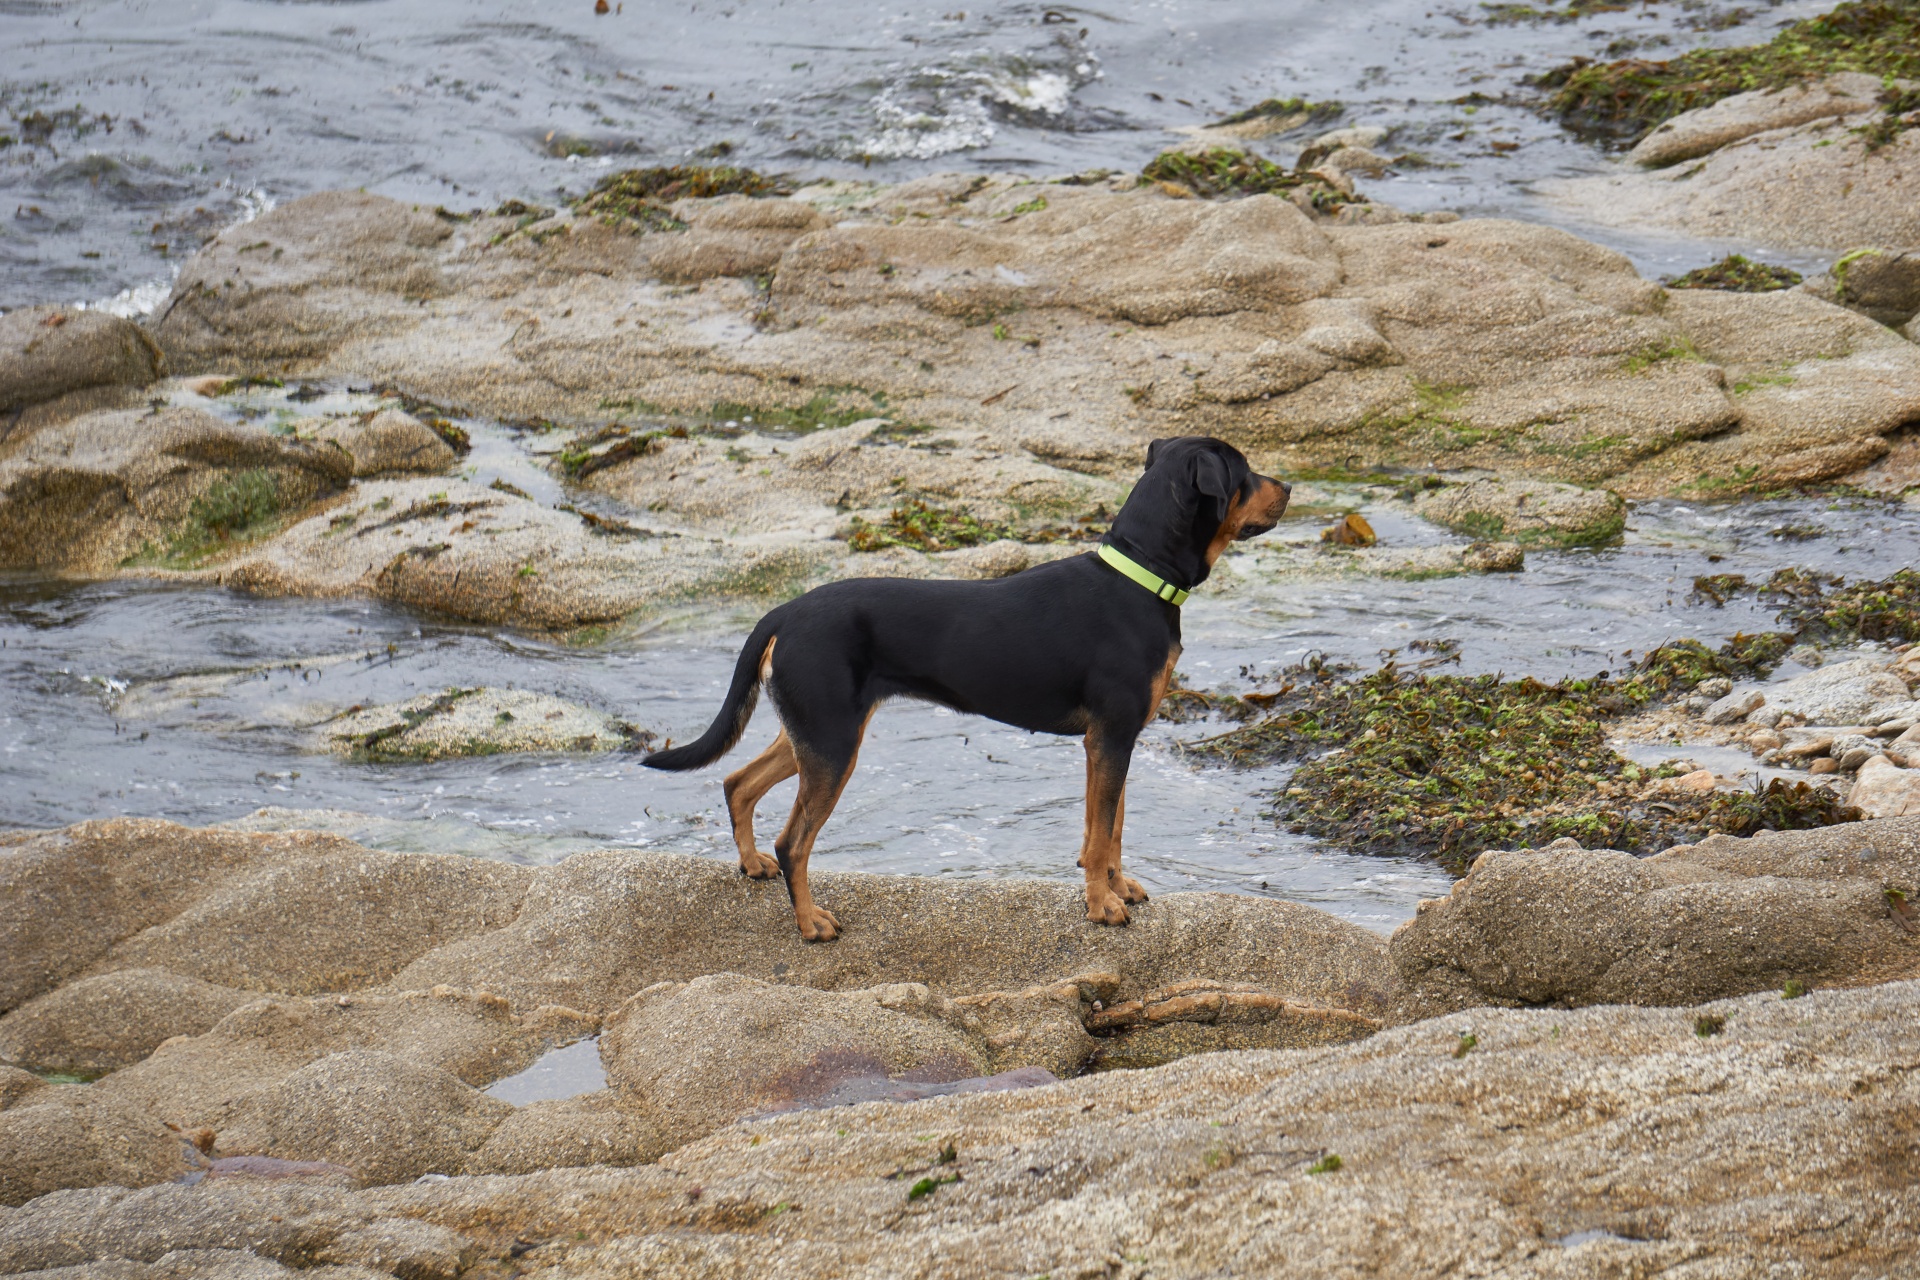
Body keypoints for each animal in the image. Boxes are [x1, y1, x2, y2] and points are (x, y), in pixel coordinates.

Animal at [645, 437, 1290, 940]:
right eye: (1243, 471)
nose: (1287, 488)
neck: (1142, 572)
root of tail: (784, 611)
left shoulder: (1117, 739)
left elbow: (1108, 828)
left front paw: (1116, 888)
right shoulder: (1110, 736)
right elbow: (1101, 832)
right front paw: (1101, 908)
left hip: (815, 732)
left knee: (737, 783)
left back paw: (752, 865)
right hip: (832, 743)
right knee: (794, 842)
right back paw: (810, 924)